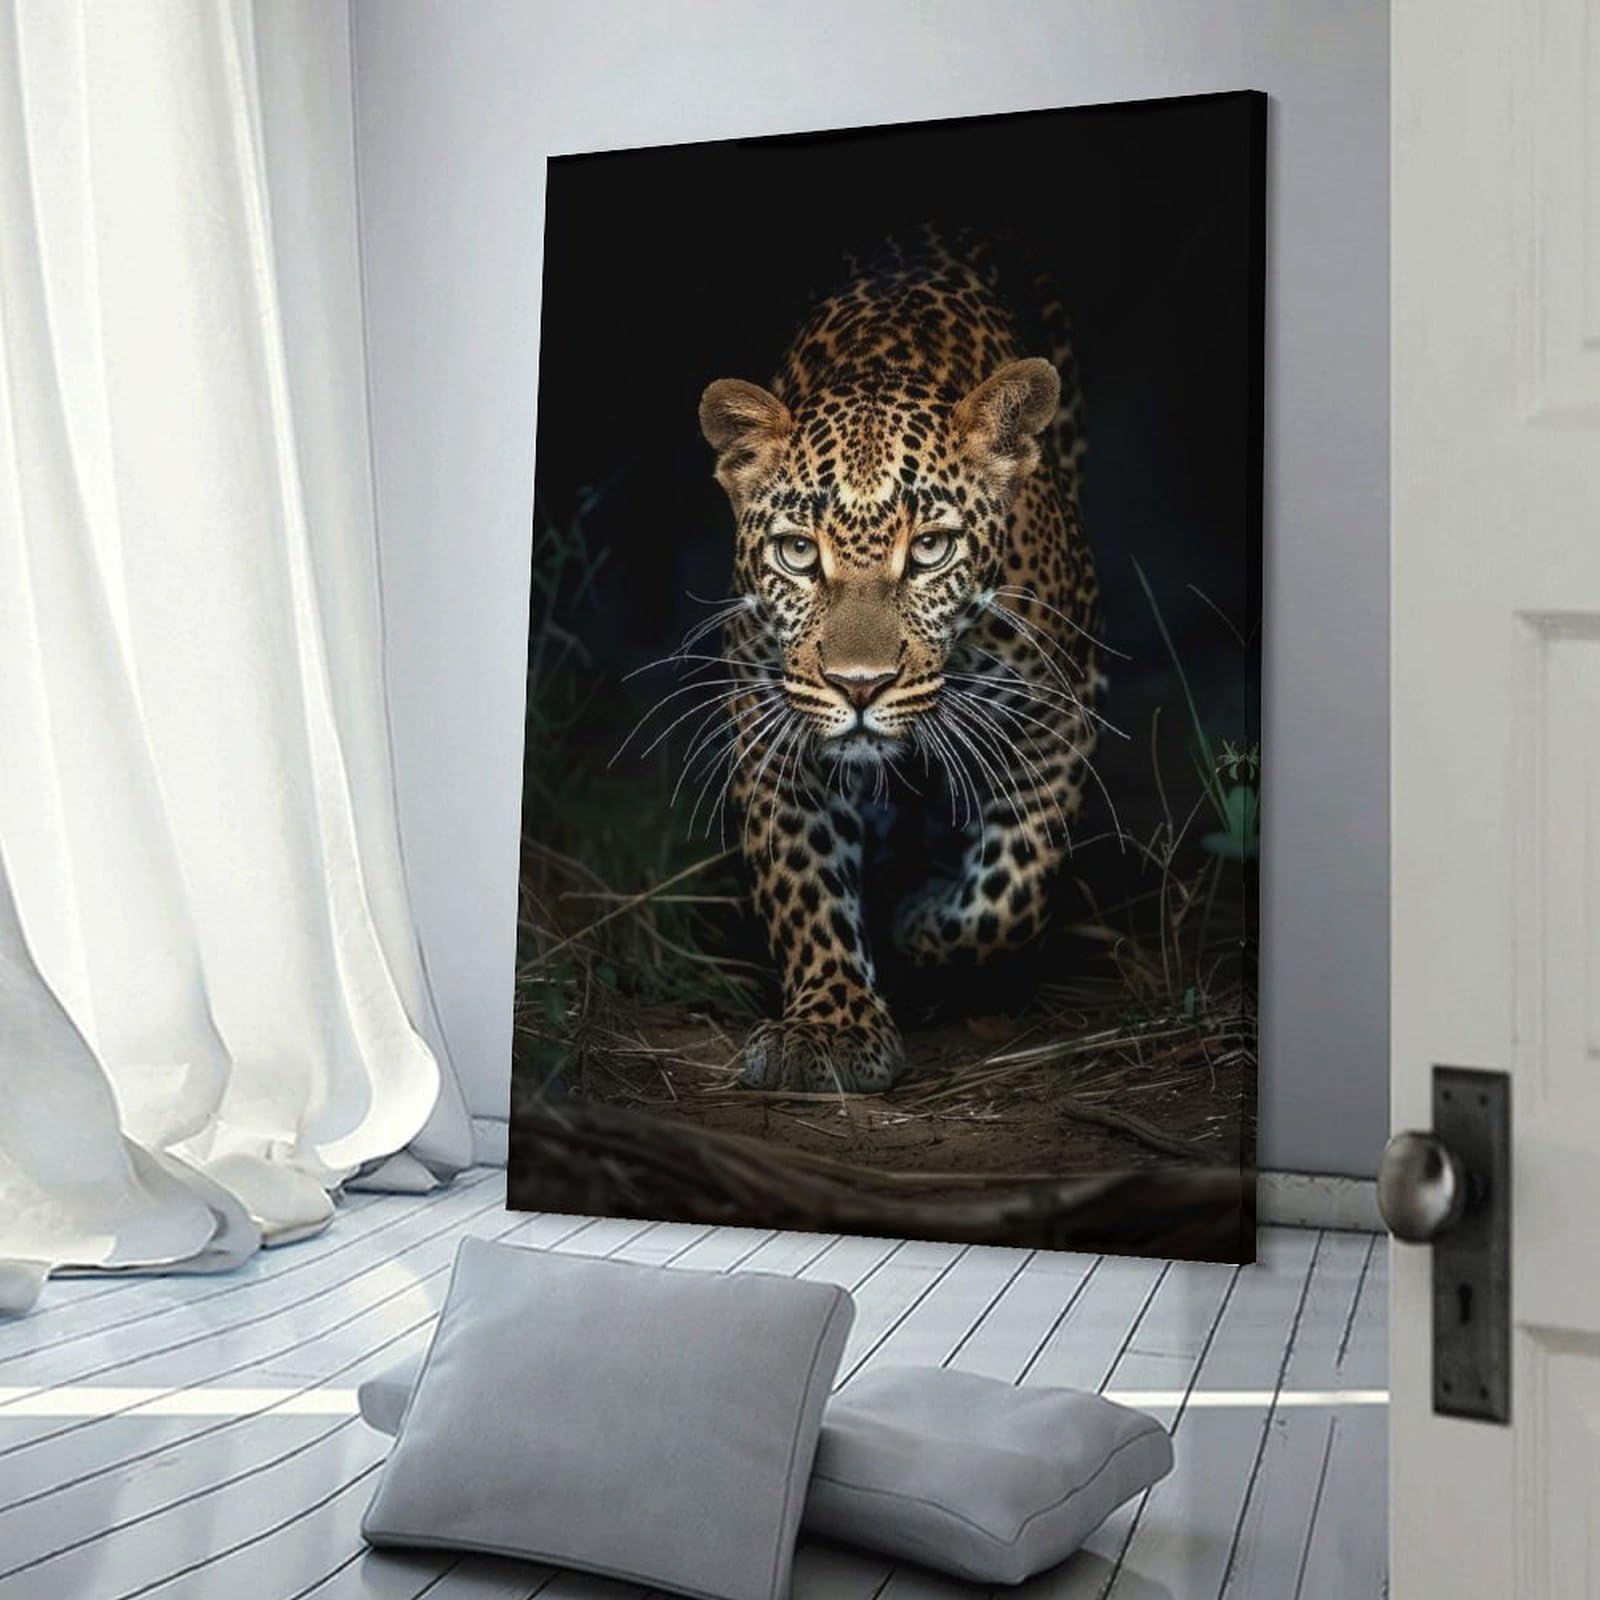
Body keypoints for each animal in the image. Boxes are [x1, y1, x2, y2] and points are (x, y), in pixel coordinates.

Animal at [696, 230, 1102, 1094]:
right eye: (796, 554)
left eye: (932, 550)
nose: (860, 687)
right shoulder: (770, 720)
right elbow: (802, 876)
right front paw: (832, 1026)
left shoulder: (1059, 706)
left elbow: (1014, 885)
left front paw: (918, 922)